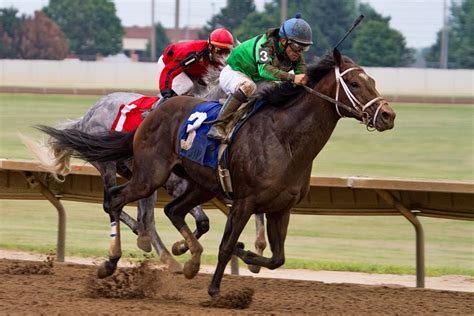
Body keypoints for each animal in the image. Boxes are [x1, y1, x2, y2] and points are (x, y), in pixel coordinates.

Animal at [38, 49, 396, 296]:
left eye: (373, 80)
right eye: (354, 83)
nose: (388, 115)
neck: (285, 137)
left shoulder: (281, 207)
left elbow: (276, 257)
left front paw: (247, 254)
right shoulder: (244, 201)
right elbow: (225, 244)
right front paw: (214, 289)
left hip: (199, 184)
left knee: (168, 210)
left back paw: (185, 260)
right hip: (147, 176)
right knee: (119, 203)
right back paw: (116, 260)